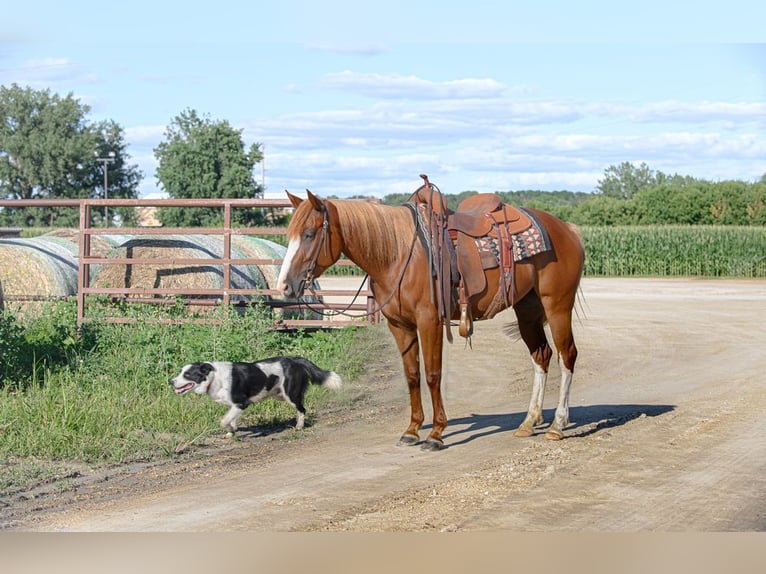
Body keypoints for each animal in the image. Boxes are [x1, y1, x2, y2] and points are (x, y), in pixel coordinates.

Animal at [277, 178, 585, 451]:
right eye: (290, 235)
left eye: (309, 234)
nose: (285, 286)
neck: (398, 255)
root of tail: (568, 229)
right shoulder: (400, 326)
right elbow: (412, 374)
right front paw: (412, 430)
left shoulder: (430, 322)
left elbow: (433, 374)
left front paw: (436, 434)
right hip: (527, 310)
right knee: (541, 356)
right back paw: (529, 422)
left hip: (557, 305)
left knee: (566, 355)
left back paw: (558, 425)